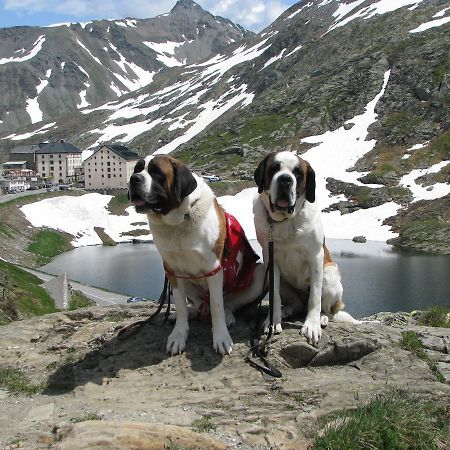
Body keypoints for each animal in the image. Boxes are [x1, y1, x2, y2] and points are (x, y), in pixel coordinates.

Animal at [128, 155, 266, 356]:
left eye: (157, 173)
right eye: (136, 169)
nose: (134, 179)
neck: (179, 219)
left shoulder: (213, 269)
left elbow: (217, 306)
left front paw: (221, 337)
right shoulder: (172, 271)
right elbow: (180, 306)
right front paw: (178, 335)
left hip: (259, 274)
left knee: (227, 303)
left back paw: (228, 316)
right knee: (199, 304)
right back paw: (191, 312)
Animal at [255, 150, 360, 344]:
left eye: (298, 173)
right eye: (274, 168)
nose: (285, 179)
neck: (285, 221)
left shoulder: (315, 257)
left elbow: (315, 297)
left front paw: (311, 325)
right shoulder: (270, 260)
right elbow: (274, 296)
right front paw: (273, 321)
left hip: (330, 275)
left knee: (327, 308)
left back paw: (322, 317)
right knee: (296, 304)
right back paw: (287, 310)